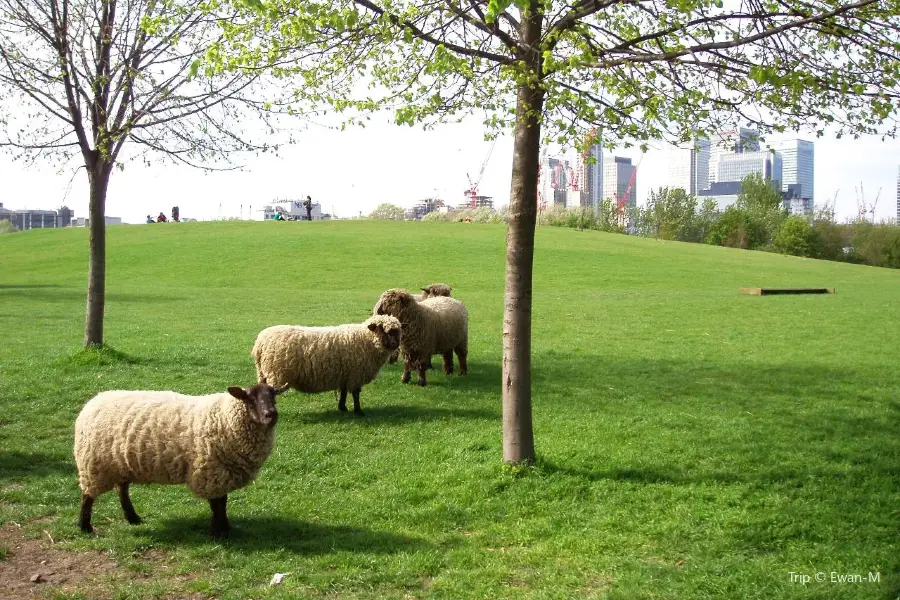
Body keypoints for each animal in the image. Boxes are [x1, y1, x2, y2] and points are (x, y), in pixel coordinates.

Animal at [76, 380, 292, 540]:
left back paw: (133, 518)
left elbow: (223, 502)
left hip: (120, 463)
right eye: (250, 398)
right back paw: (85, 527)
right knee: (88, 496)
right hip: (94, 464)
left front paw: (225, 527)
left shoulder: (221, 473)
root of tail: (93, 401)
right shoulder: (210, 472)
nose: (271, 415)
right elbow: (217, 504)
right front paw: (218, 532)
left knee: (122, 490)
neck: (225, 417)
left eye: (273, 395)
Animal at [248, 314, 400, 418]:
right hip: (275, 373)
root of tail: (260, 343)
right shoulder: (355, 374)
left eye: (398, 331)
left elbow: (344, 392)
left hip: (263, 373)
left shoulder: (345, 374)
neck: (366, 339)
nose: (395, 344)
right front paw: (359, 411)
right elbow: (356, 394)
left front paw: (342, 407)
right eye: (383, 329)